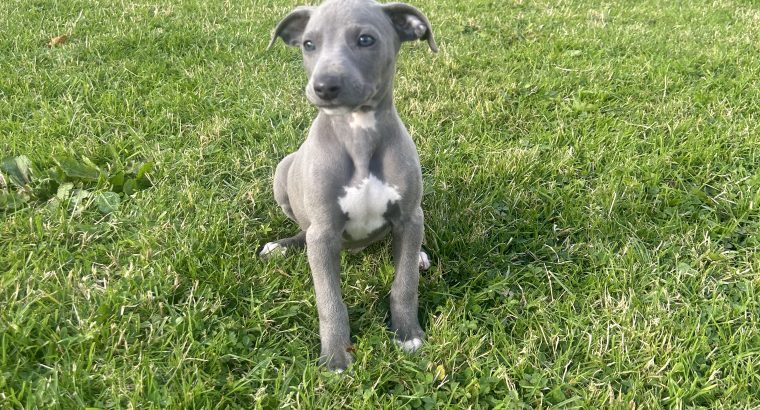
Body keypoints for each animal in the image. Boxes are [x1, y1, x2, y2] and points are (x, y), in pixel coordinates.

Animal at [264, 0, 436, 372]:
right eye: (309, 44)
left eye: (366, 39)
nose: (324, 86)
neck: (358, 131)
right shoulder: (324, 232)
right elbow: (329, 301)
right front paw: (335, 356)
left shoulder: (409, 217)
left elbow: (405, 284)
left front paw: (408, 334)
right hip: (283, 172)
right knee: (303, 232)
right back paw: (281, 247)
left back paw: (418, 255)